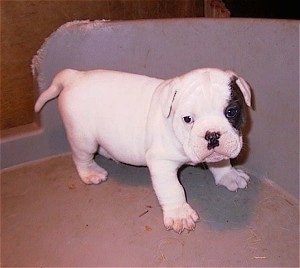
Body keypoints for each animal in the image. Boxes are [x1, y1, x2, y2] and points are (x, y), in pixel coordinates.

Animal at [34, 68, 251, 233]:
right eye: (188, 119)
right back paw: (90, 172)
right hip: (83, 138)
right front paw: (179, 214)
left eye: (231, 112)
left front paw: (229, 175)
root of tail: (74, 76)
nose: (212, 135)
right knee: (81, 157)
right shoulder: (161, 163)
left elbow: (222, 161)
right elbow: (173, 189)